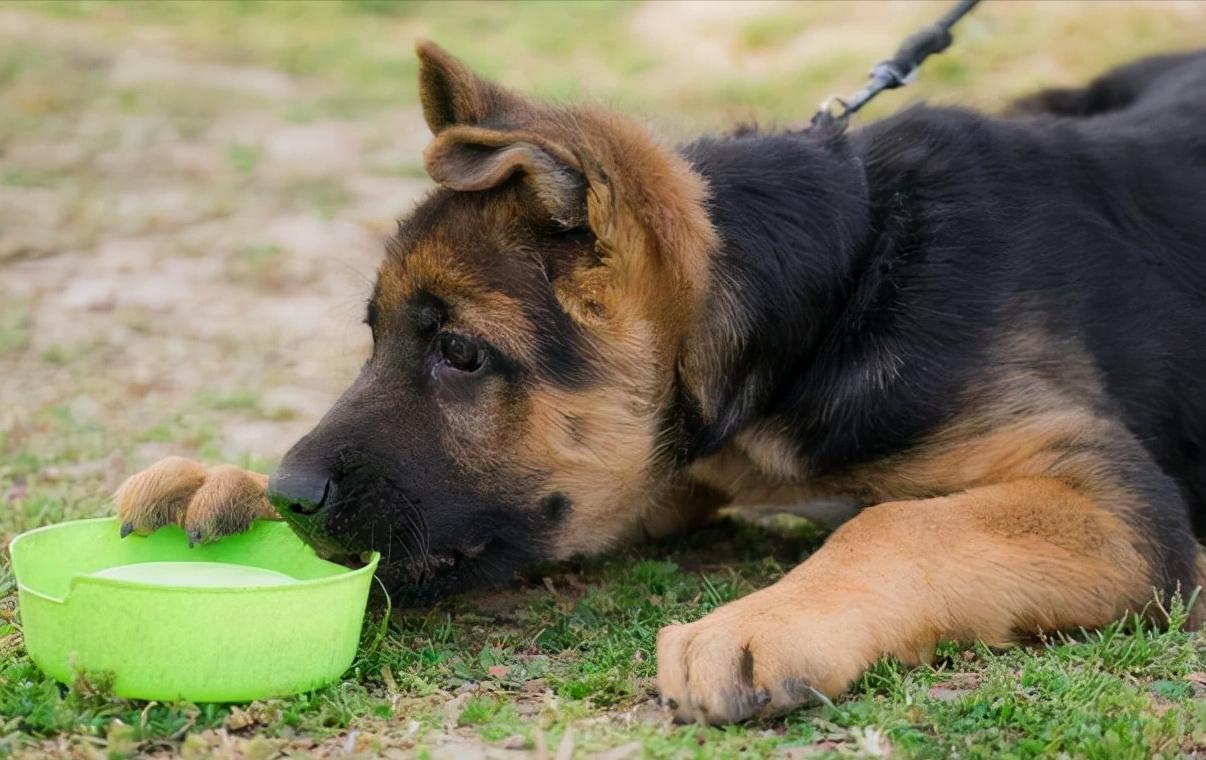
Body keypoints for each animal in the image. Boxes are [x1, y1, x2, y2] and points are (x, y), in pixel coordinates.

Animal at [115, 43, 1206, 728]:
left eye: (461, 353)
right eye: (374, 337)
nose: (292, 494)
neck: (832, 296)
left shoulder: (1114, 501)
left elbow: (895, 524)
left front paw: (764, 623)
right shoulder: (656, 474)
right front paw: (219, 482)